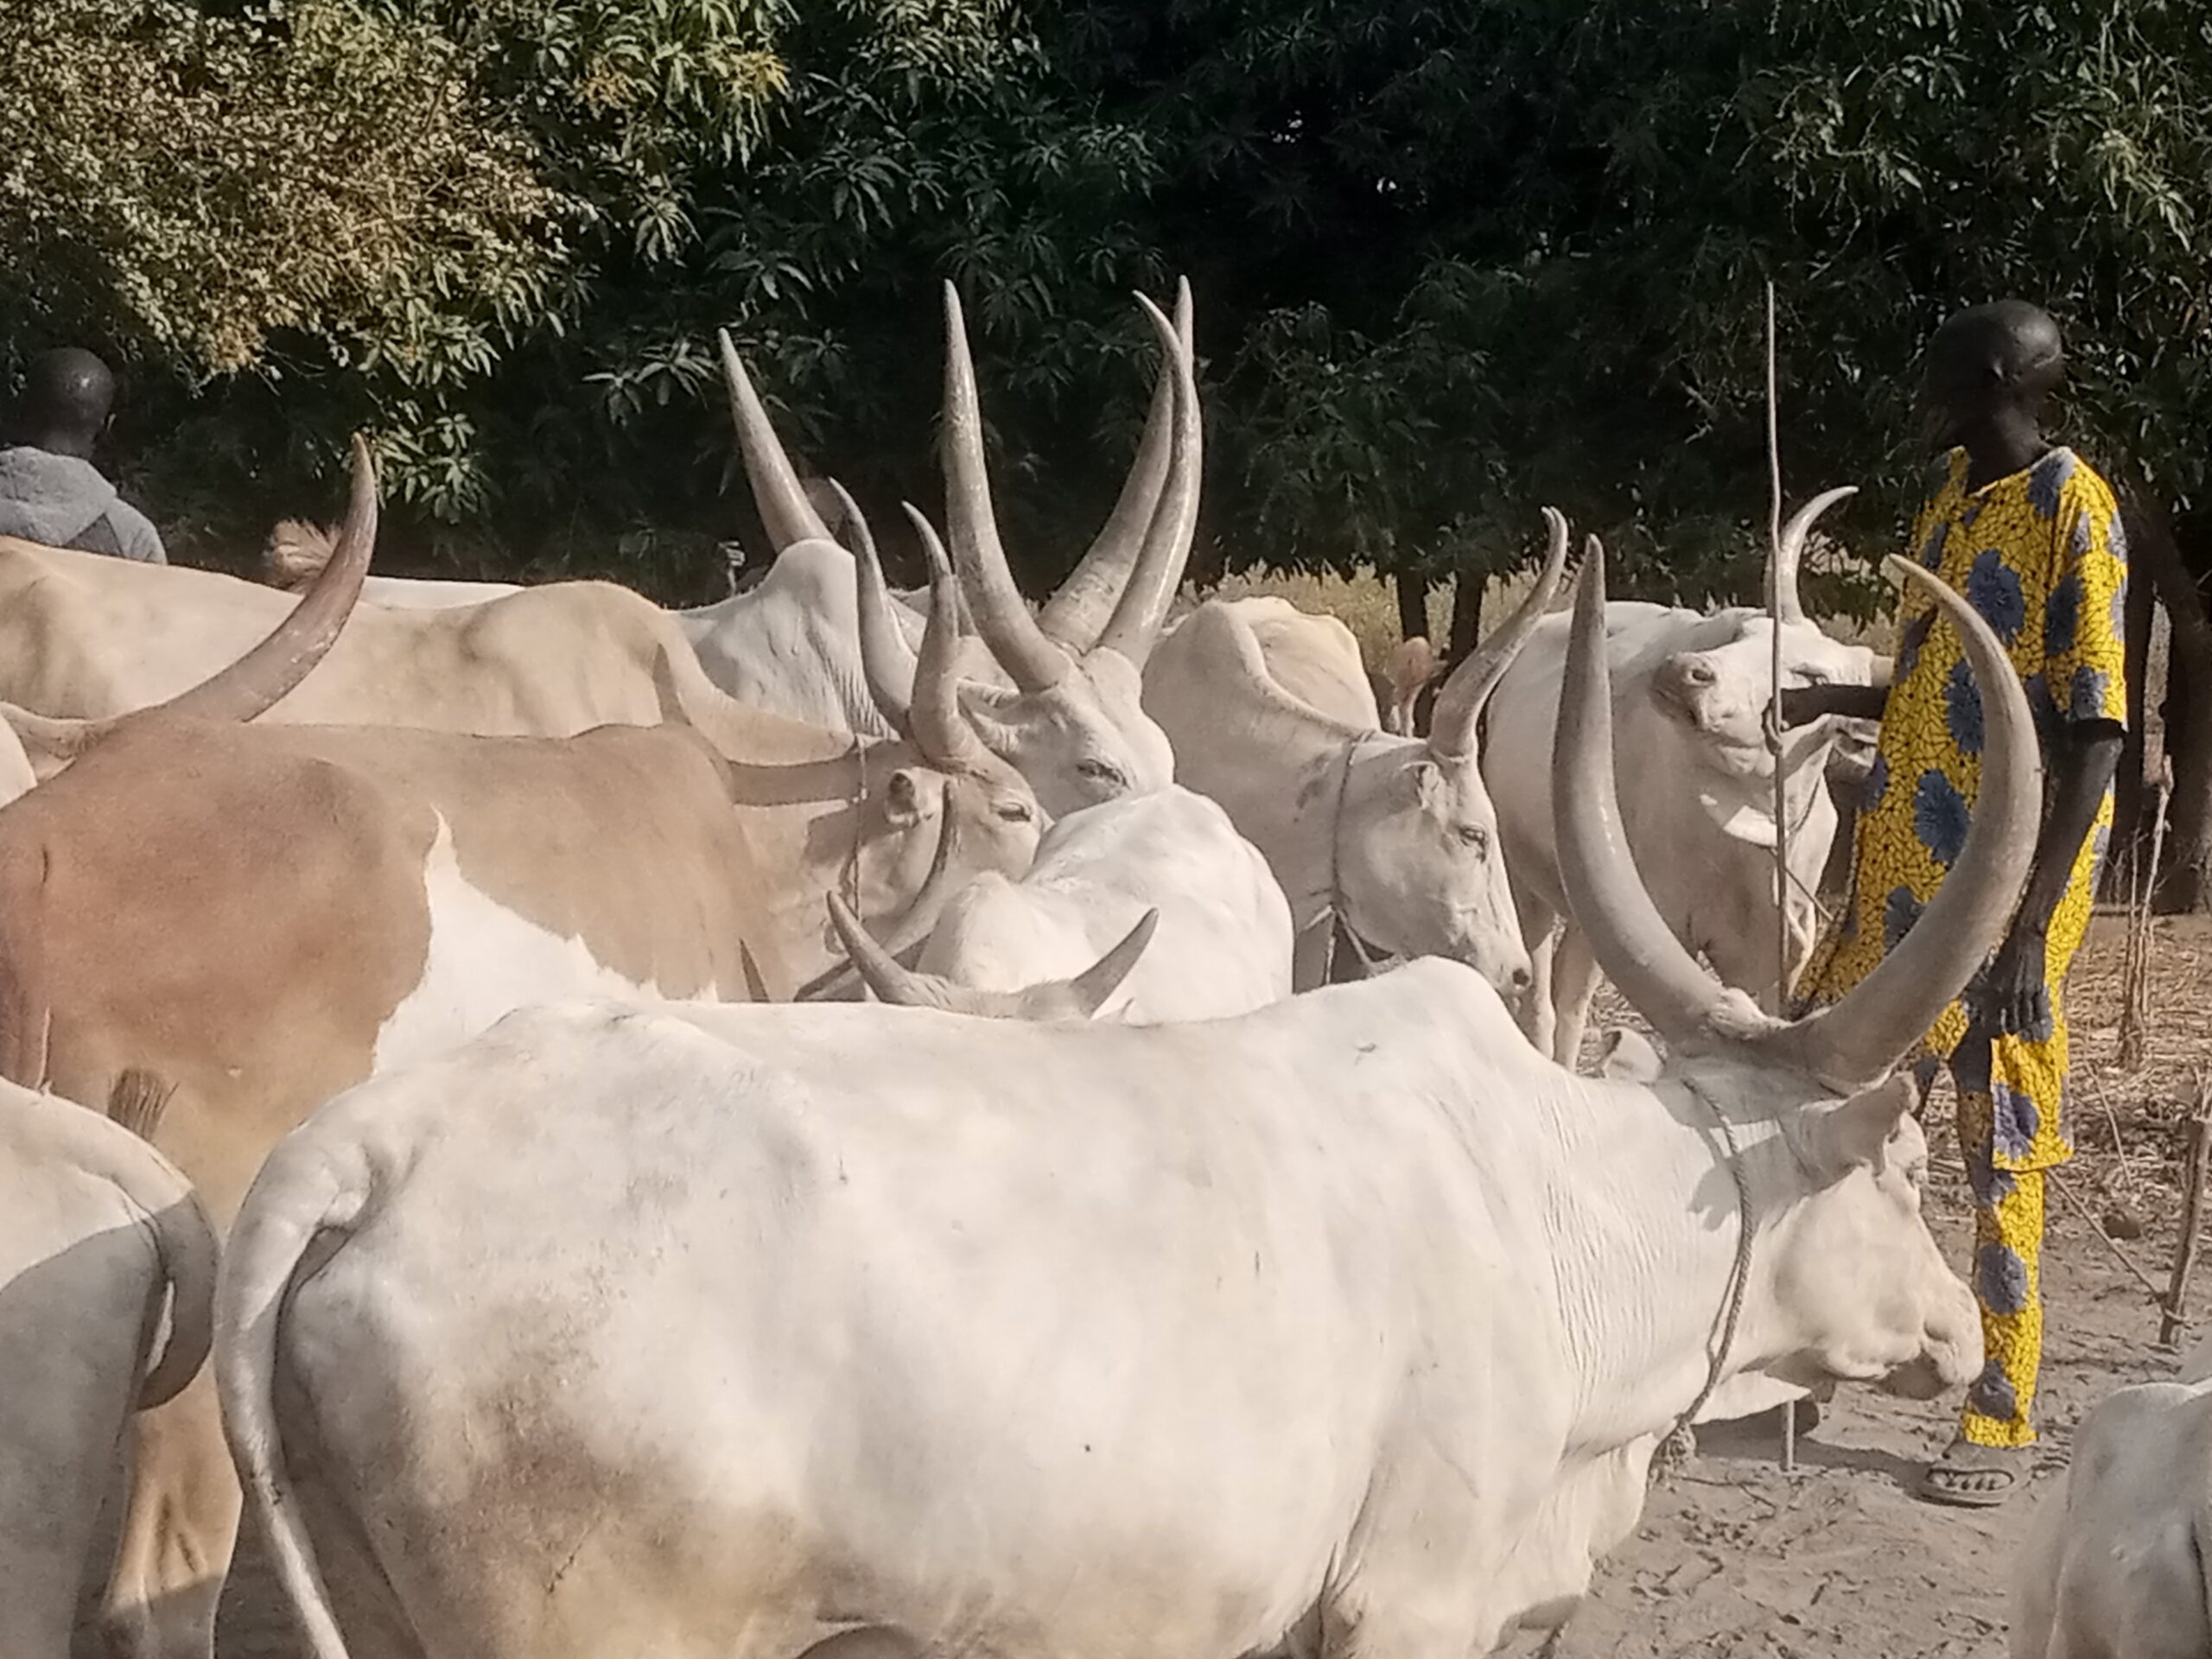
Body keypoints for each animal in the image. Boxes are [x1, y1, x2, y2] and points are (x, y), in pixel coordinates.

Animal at [1480, 488, 1885, 1066]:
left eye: (1812, 676)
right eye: (1744, 633)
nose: (1686, 673)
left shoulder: (1768, 960)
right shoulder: (1665, 925)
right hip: (1525, 877)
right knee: (1548, 999)